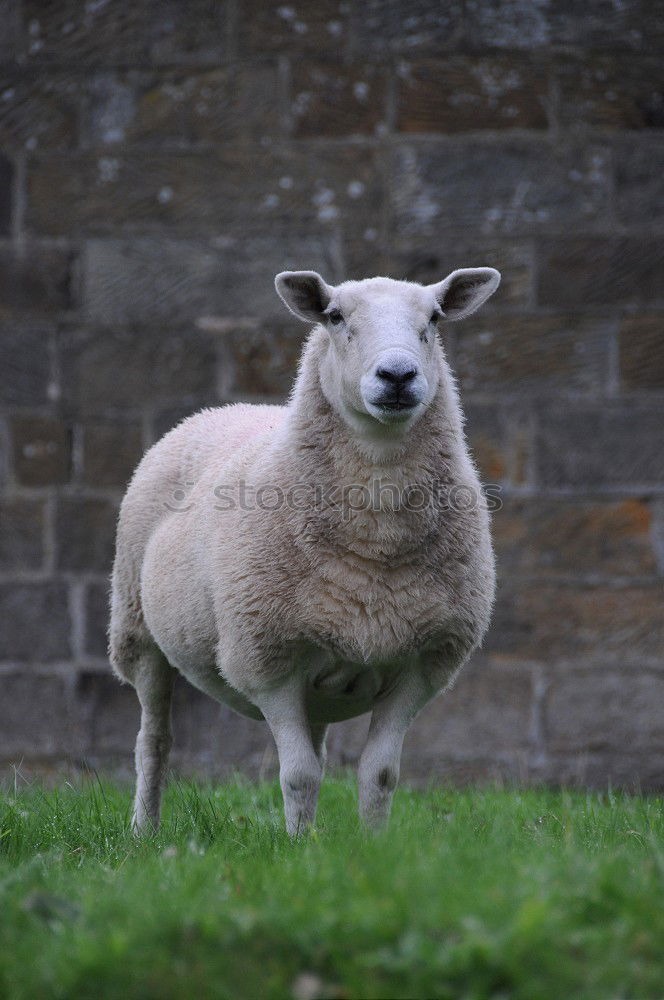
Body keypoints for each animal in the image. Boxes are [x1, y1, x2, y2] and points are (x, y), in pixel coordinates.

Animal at [111, 268, 500, 836]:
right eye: (335, 317)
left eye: (433, 319)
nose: (398, 375)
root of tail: (226, 408)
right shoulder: (267, 659)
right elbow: (297, 776)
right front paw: (296, 849)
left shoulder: (424, 662)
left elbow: (379, 774)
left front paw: (371, 846)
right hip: (137, 631)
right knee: (153, 744)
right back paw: (144, 832)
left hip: (318, 685)